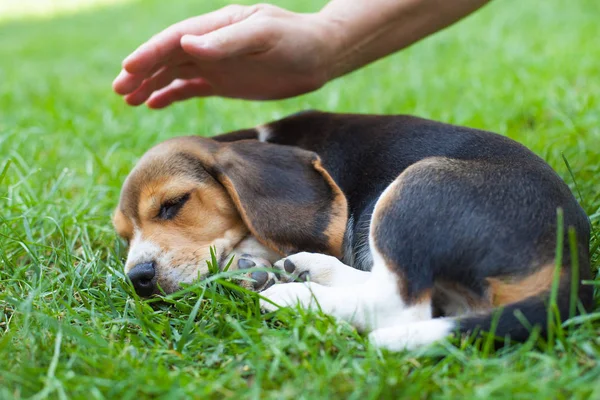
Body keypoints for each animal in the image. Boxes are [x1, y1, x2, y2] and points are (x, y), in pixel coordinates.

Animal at [115, 110, 592, 350]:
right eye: (124, 235)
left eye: (173, 204)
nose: (138, 278)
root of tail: (573, 258)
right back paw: (305, 270)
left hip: (415, 187)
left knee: (402, 305)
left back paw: (293, 295)